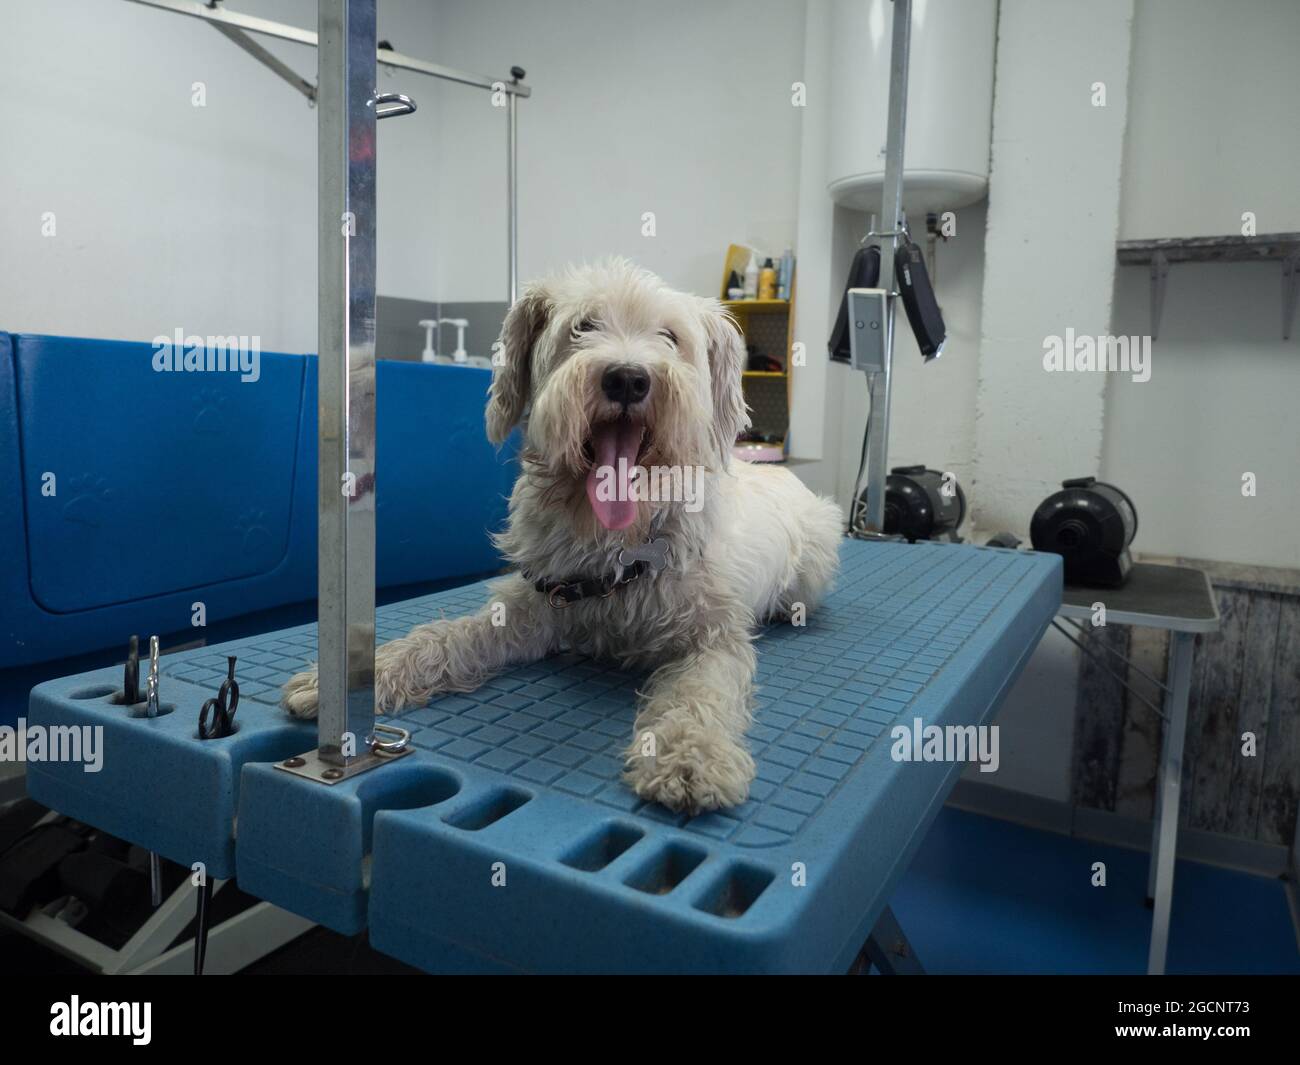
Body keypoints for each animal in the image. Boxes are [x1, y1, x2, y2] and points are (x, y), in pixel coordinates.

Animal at [284, 262, 842, 811]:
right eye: (582, 326)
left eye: (669, 336)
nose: (627, 378)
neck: (620, 542)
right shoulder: (535, 606)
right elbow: (444, 637)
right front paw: (346, 680)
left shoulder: (715, 636)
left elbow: (700, 694)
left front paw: (689, 757)